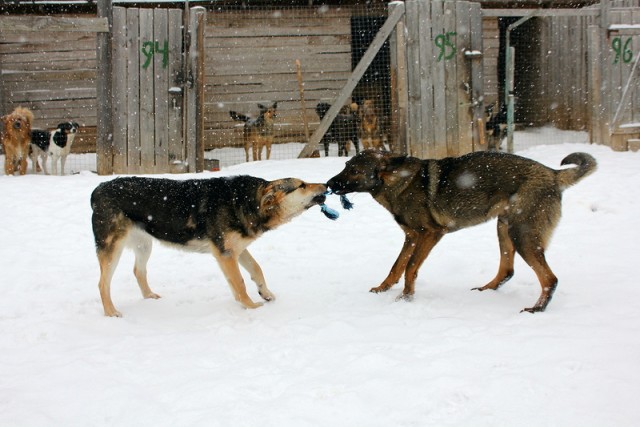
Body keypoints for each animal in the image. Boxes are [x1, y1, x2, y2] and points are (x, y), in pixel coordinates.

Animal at [92, 174, 328, 318]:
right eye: (301, 185)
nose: (326, 185)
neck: (245, 202)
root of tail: (97, 190)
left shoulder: (236, 250)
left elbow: (256, 270)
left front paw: (265, 293)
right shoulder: (225, 254)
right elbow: (240, 282)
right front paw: (251, 306)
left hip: (144, 245)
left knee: (138, 271)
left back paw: (149, 296)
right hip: (113, 248)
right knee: (103, 284)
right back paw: (111, 312)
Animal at [328, 150, 596, 314]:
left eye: (354, 170)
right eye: (345, 166)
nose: (329, 184)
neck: (397, 180)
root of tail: (553, 173)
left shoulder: (430, 234)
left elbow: (410, 267)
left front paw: (406, 297)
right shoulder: (411, 237)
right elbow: (396, 266)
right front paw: (383, 289)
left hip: (522, 235)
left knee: (550, 279)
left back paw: (537, 309)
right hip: (504, 227)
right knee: (507, 270)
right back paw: (487, 290)